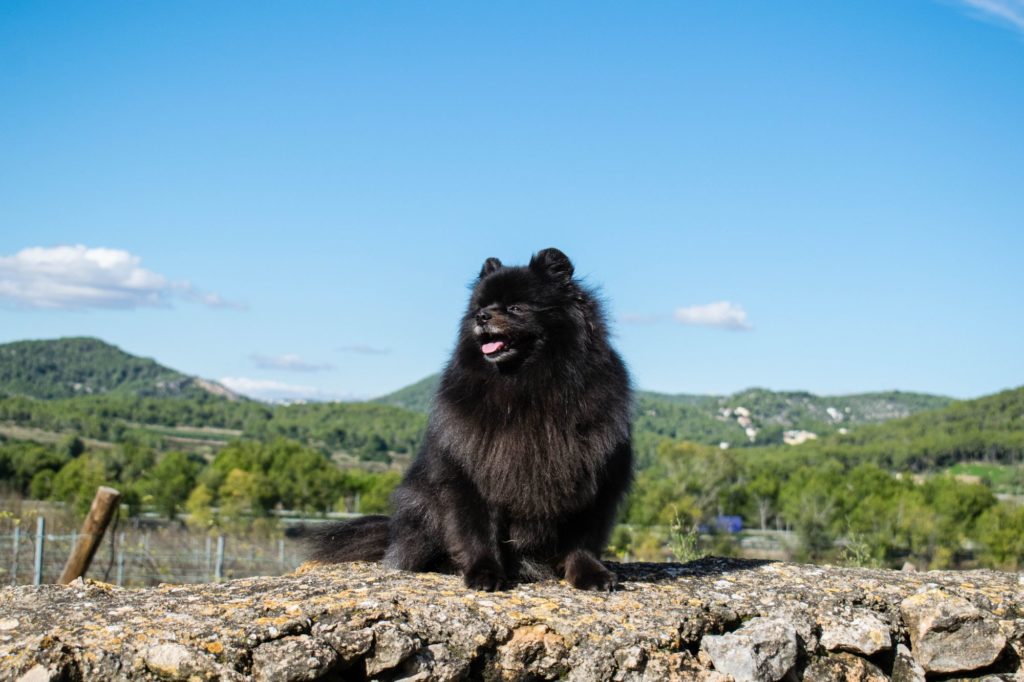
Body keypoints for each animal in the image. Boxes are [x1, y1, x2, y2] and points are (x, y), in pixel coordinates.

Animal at [307, 246, 634, 585]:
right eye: (480, 306)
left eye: (516, 307)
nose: (482, 316)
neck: (526, 386)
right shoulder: (472, 470)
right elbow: (477, 529)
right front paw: (484, 572)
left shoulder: (595, 474)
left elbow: (584, 538)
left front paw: (589, 573)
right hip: (421, 502)